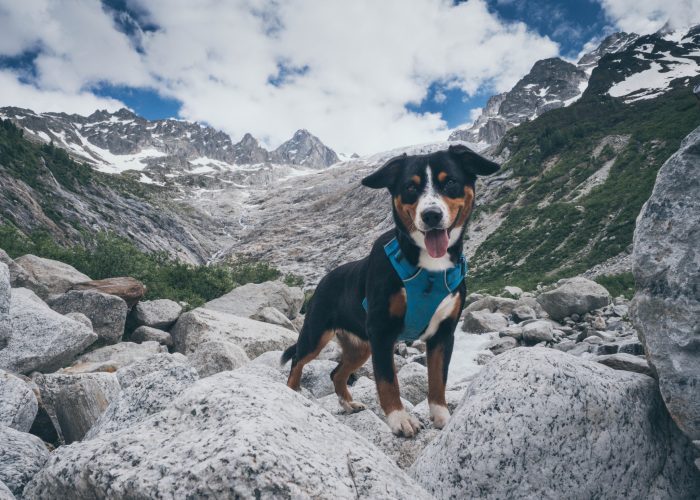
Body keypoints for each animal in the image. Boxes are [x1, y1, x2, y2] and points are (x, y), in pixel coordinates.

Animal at [282, 143, 500, 436]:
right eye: (410, 187)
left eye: (450, 182)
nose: (431, 215)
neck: (429, 269)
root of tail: (325, 279)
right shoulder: (382, 331)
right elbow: (388, 381)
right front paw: (399, 419)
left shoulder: (443, 334)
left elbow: (437, 380)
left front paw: (442, 416)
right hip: (316, 334)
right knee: (297, 361)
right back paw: (292, 393)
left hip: (361, 347)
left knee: (336, 373)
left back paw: (348, 404)